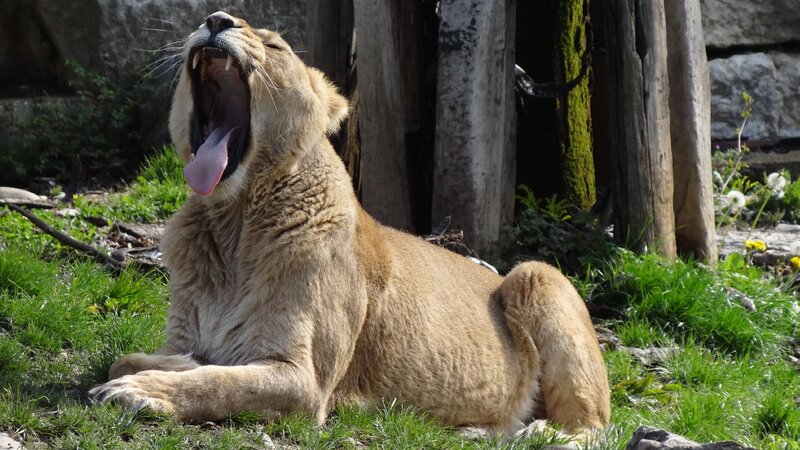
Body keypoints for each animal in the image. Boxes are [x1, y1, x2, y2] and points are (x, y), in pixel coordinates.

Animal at [90, 11, 610, 437]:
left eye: (275, 46)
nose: (216, 19)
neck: (232, 222)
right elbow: (127, 358)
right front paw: (166, 366)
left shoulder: (305, 382)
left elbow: (217, 384)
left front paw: (143, 391)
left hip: (537, 275)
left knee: (594, 425)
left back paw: (544, 434)